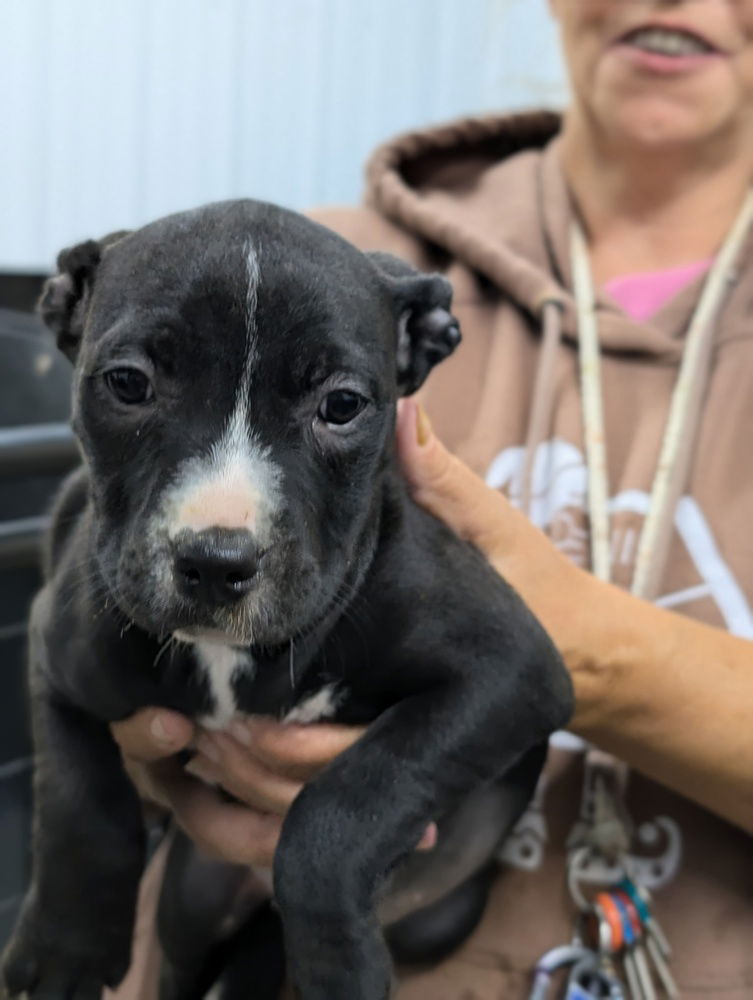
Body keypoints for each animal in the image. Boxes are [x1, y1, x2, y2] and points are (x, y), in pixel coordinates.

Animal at [2, 201, 572, 1000]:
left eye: (342, 405)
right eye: (127, 383)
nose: (216, 563)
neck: (227, 655)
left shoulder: (509, 670)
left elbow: (347, 802)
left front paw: (336, 962)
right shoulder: (57, 644)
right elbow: (80, 793)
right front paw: (68, 946)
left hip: (439, 917)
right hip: (192, 901)